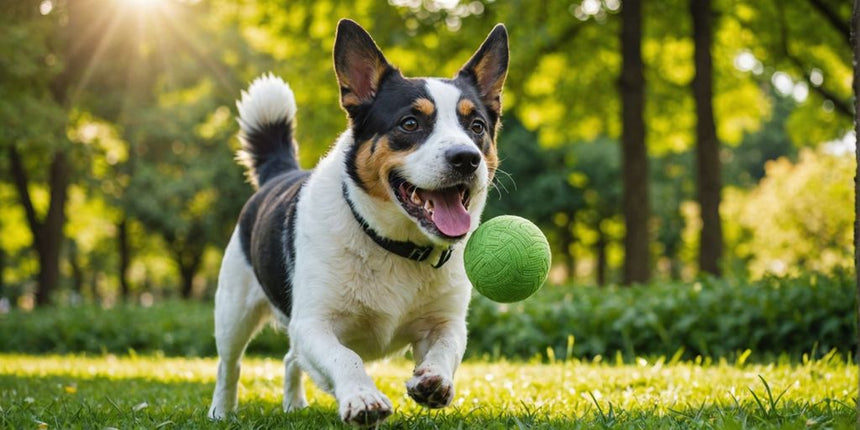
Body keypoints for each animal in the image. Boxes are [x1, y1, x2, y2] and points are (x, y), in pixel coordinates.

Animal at [207, 19, 504, 426]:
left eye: (476, 126)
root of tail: (279, 174)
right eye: (410, 123)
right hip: (234, 310)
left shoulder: (446, 321)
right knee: (230, 365)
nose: (466, 158)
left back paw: (294, 404)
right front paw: (362, 397)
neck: (395, 245)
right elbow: (345, 357)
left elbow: (447, 348)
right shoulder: (313, 323)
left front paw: (434, 379)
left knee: (290, 358)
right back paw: (221, 411)